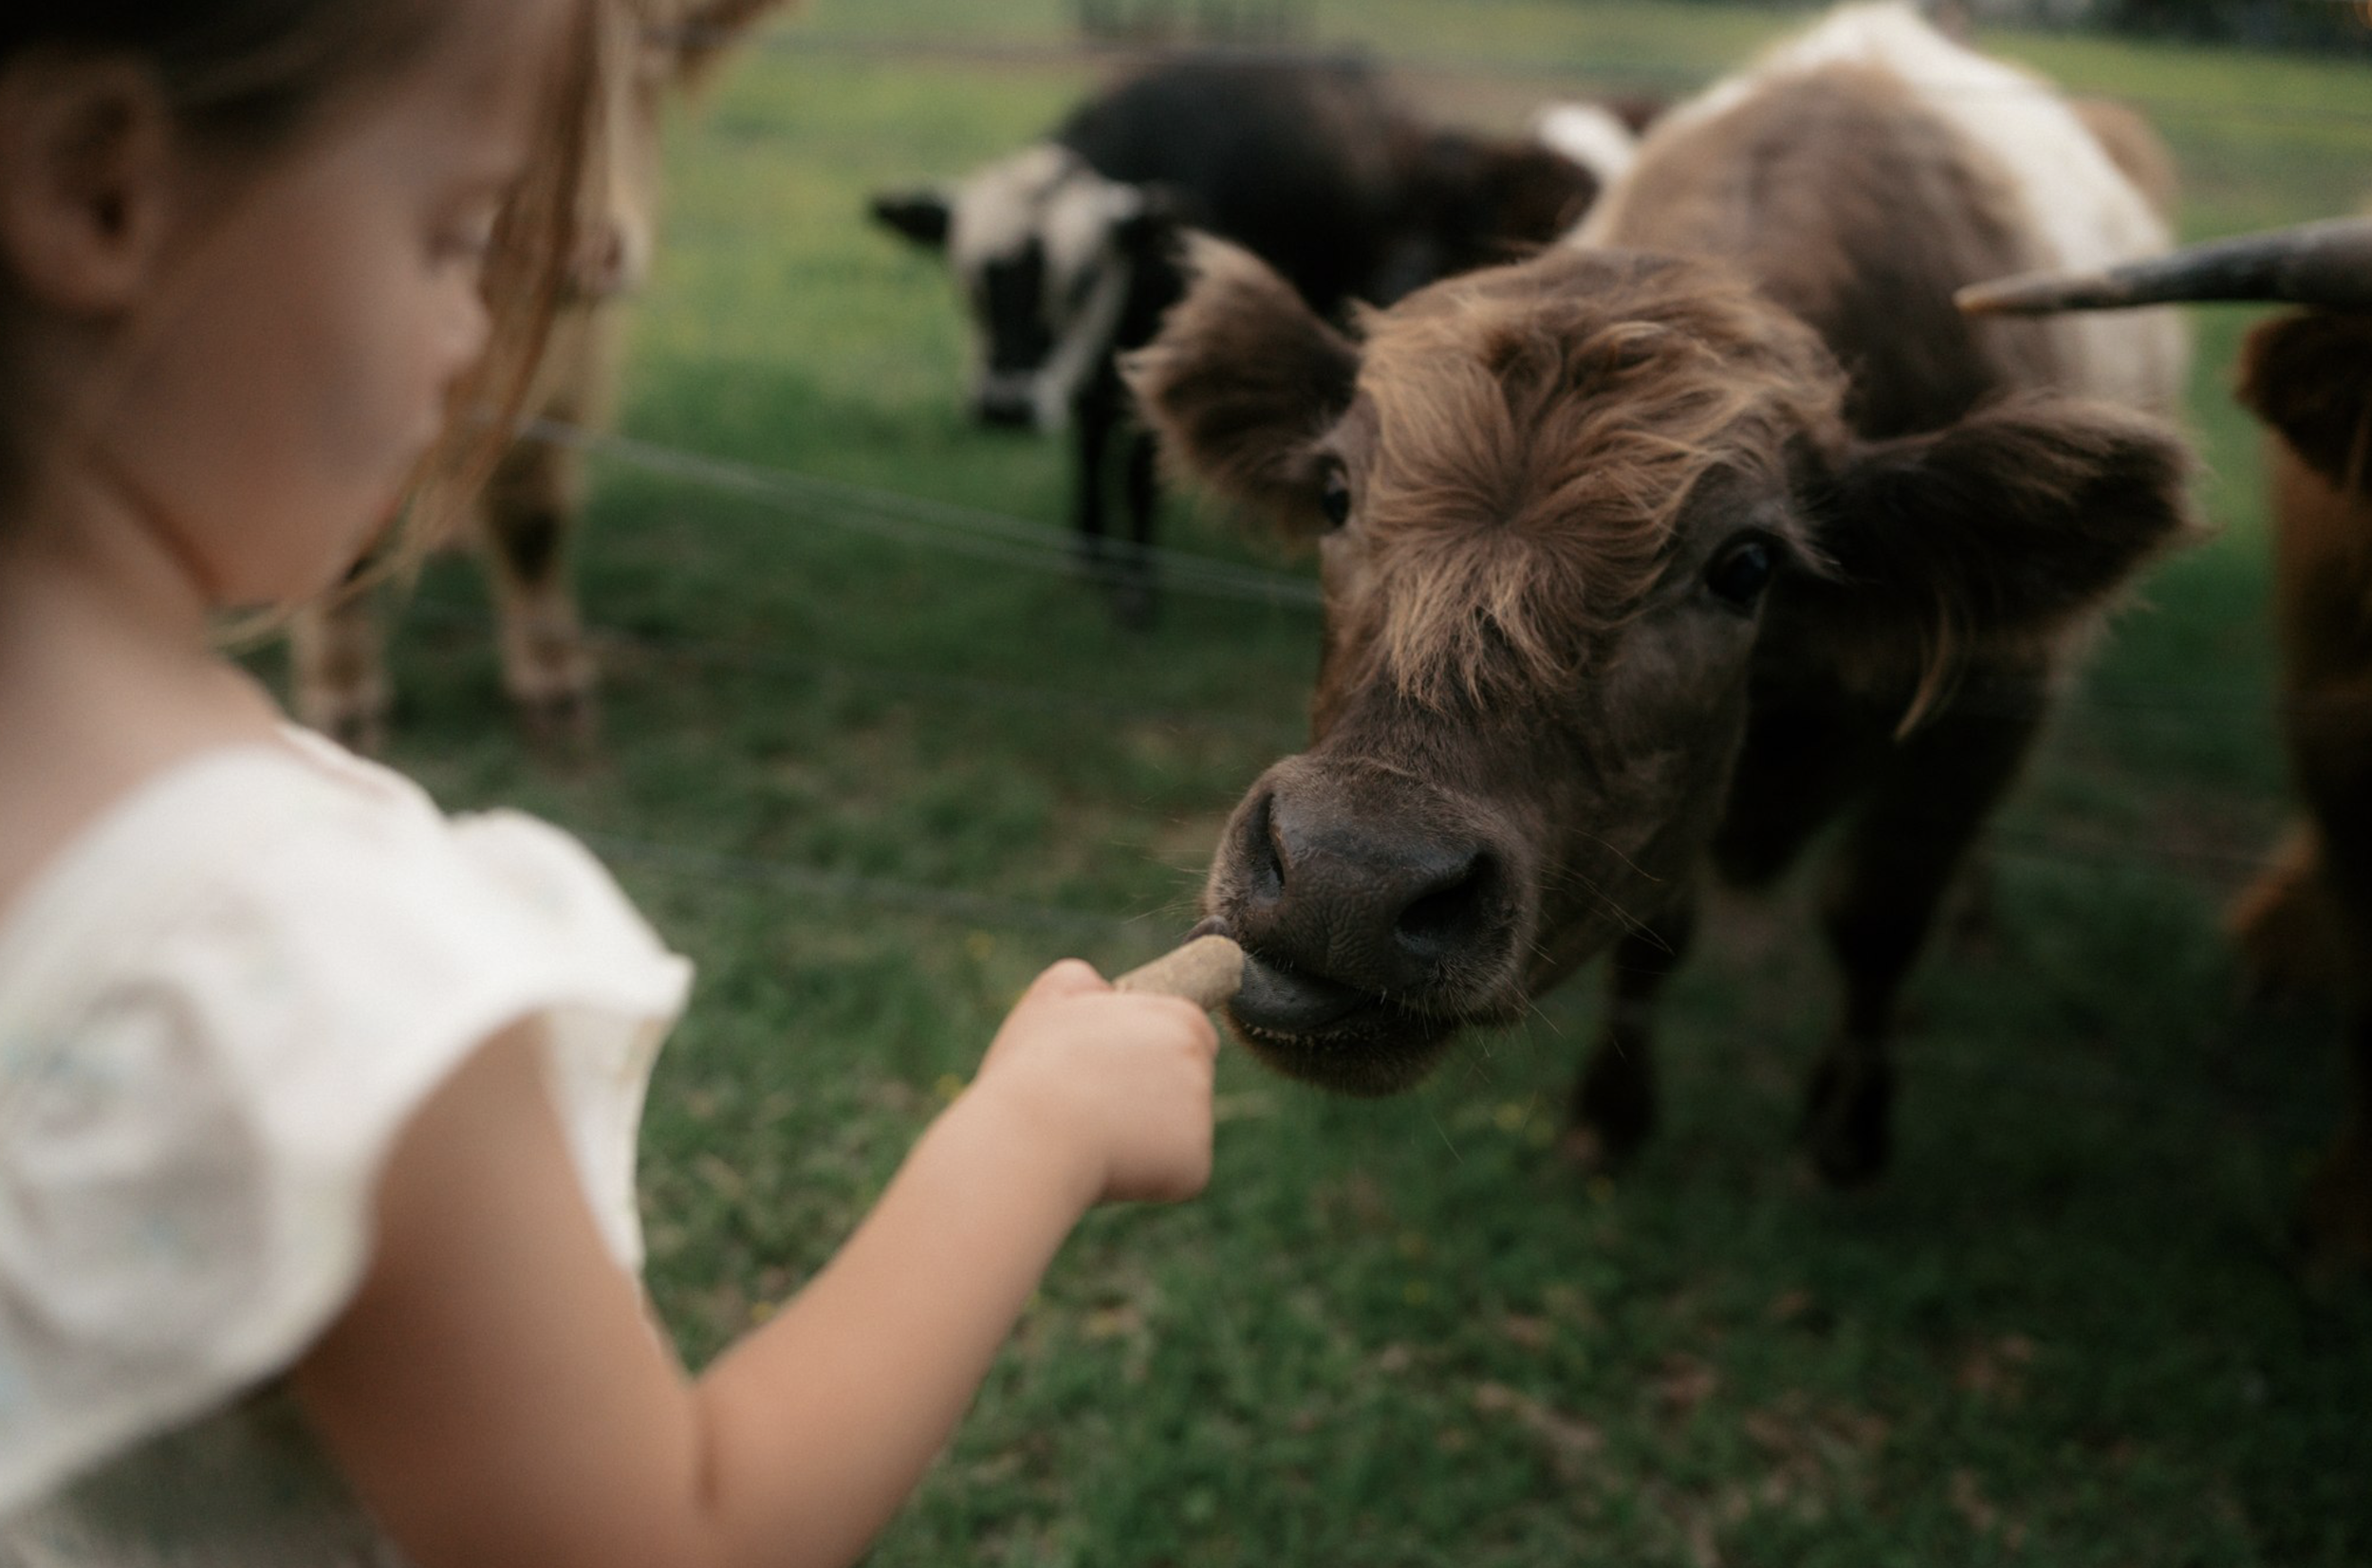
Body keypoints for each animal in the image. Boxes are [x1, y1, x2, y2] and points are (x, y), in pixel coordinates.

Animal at [290, 0, 796, 753]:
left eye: (654, 46)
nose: (583, 245)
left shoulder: (562, 363)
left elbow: (533, 517)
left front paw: (555, 683)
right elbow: (338, 541)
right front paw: (343, 702)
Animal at [868, 56, 1625, 627]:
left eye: (1079, 281)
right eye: (969, 279)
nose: (1006, 406)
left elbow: (1136, 471)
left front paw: (1135, 589)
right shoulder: (1091, 374)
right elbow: (1087, 448)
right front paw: (1087, 553)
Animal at [1126, 2, 2197, 1184]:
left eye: (1746, 565)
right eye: (1331, 494)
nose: (1345, 877)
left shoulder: (1988, 707)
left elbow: (1876, 917)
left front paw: (1849, 1130)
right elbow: (1659, 937)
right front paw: (1611, 1113)